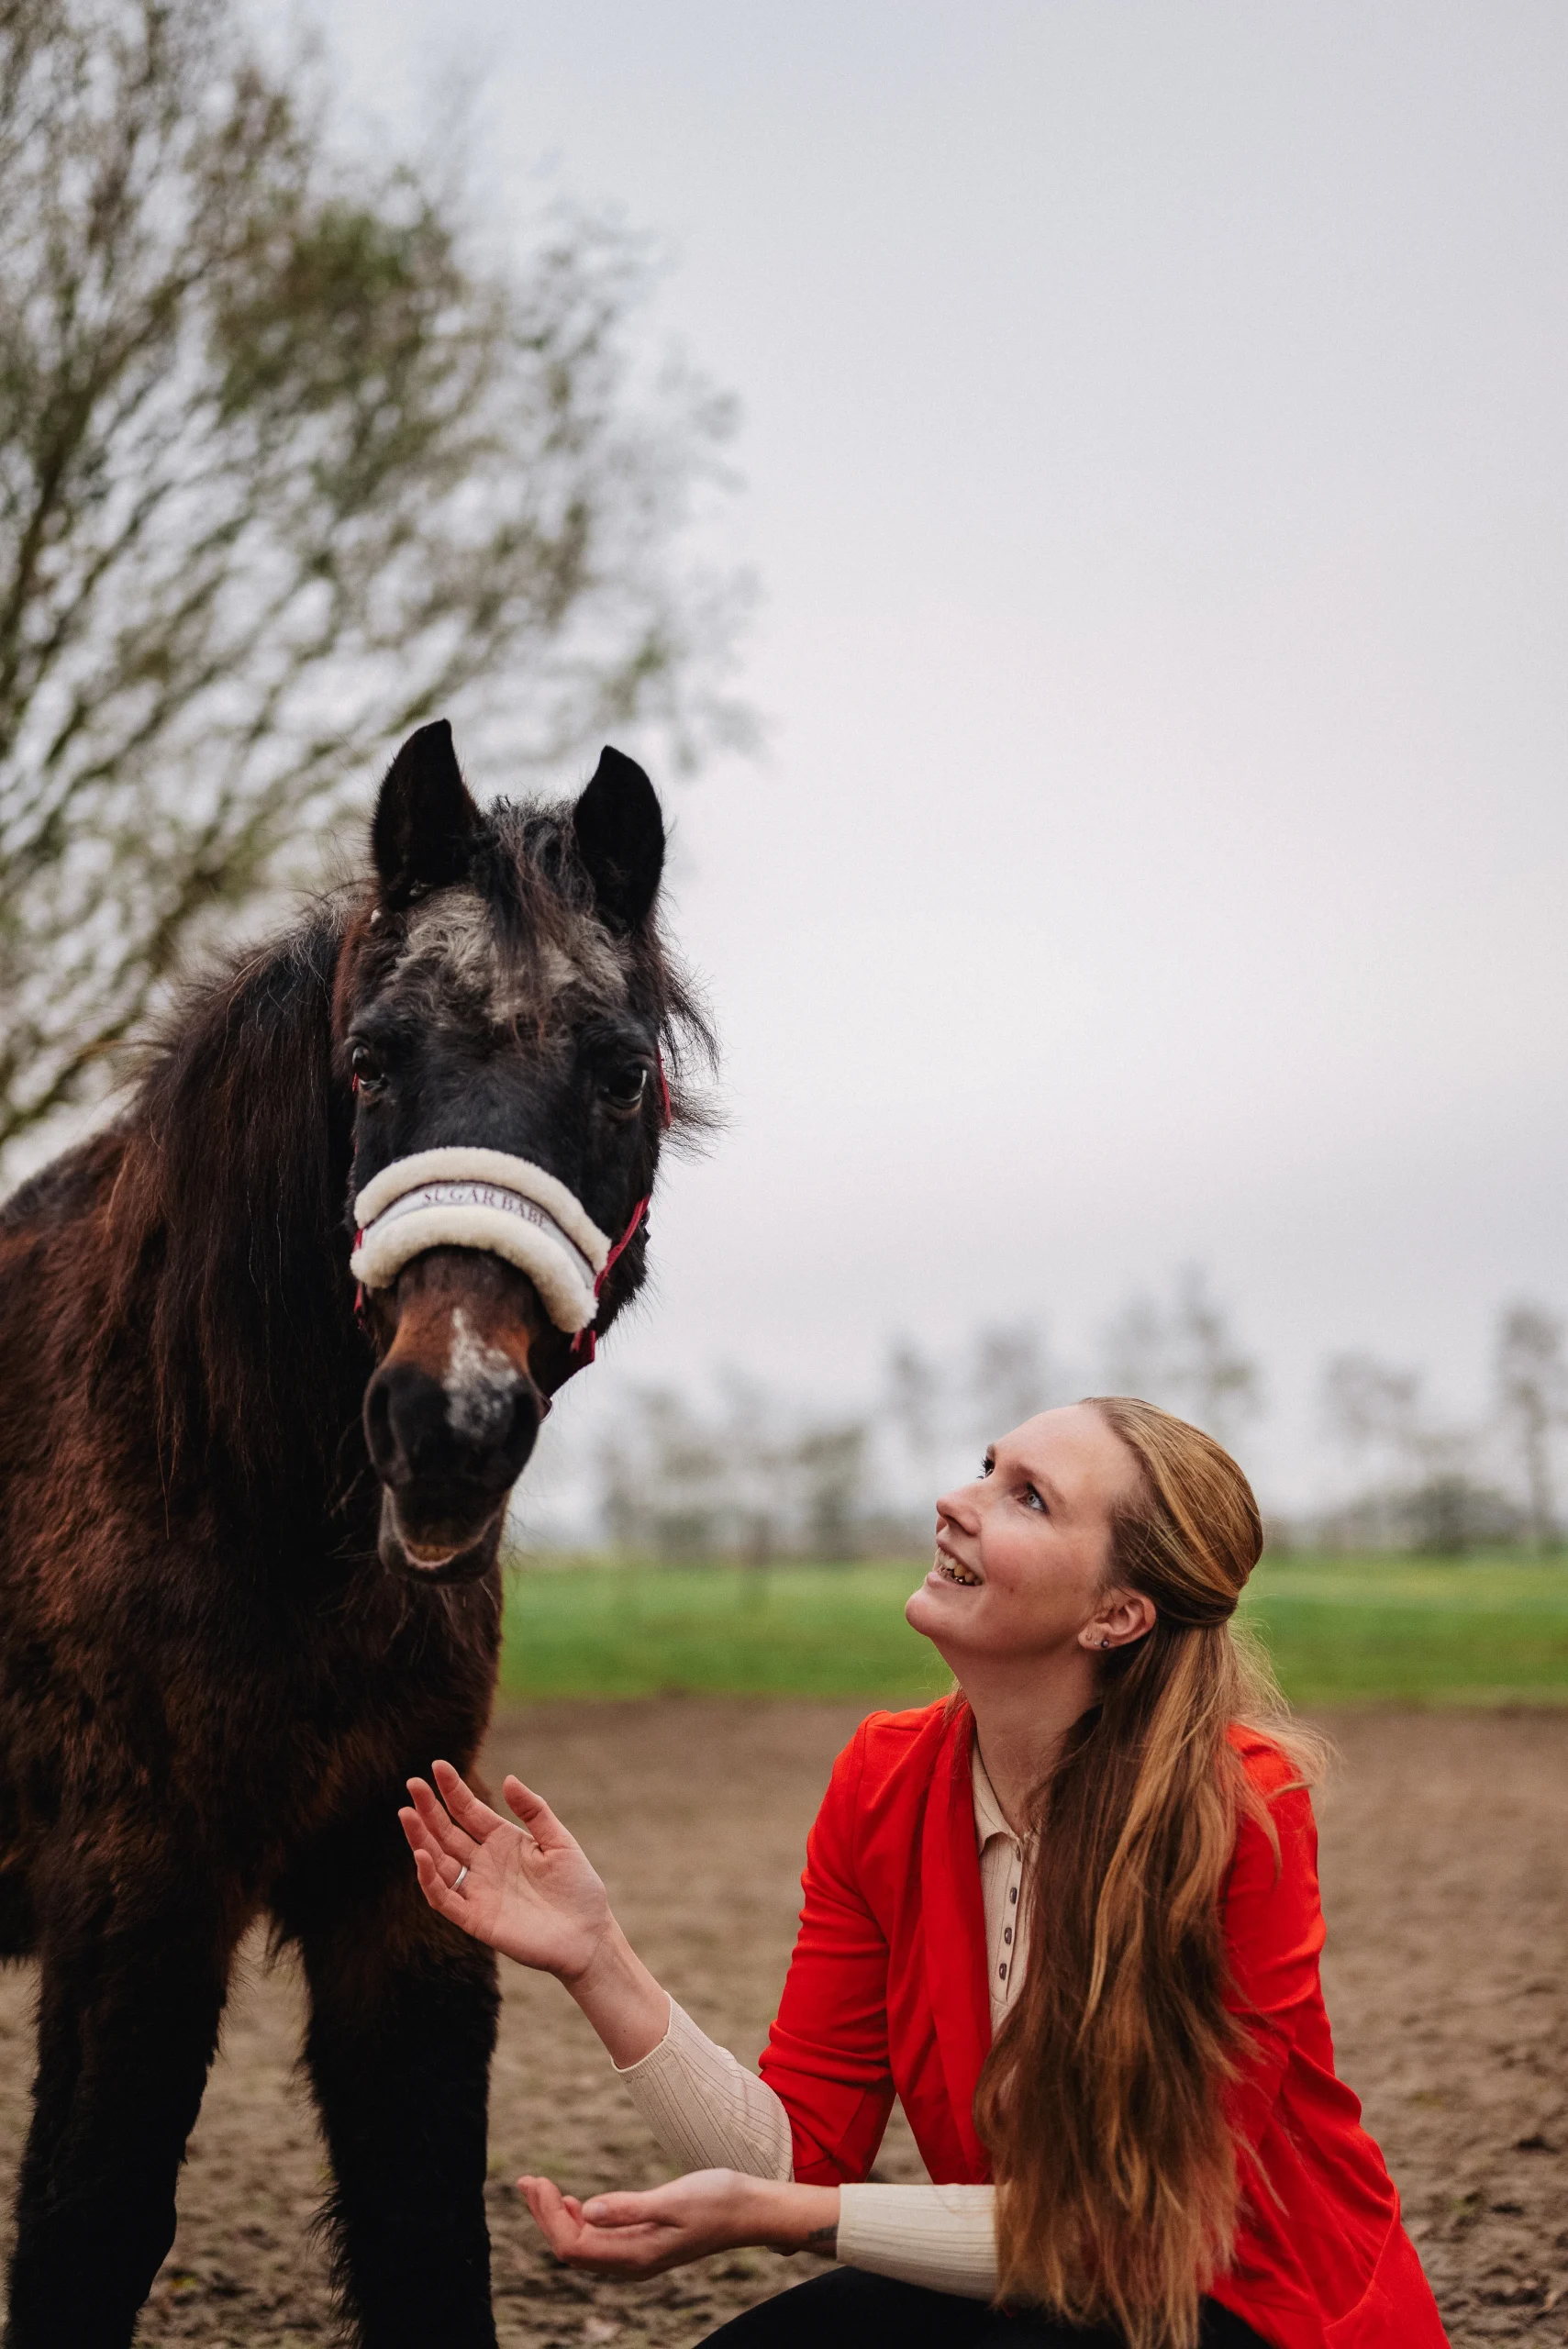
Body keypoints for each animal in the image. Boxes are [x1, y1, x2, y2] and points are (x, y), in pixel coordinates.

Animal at [0, 719, 707, 2348]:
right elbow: (85, 2221)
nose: (448, 1422)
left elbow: (420, 2222)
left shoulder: (401, 1881)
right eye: (371, 1060)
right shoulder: (136, 1887)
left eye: (621, 1073)